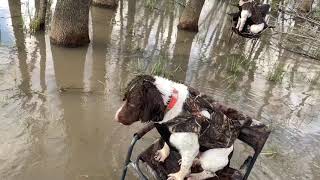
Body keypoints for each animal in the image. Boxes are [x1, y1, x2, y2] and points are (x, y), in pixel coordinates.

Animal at [114, 75, 251, 180]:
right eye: (125, 98)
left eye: (132, 103)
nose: (115, 118)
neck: (171, 104)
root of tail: (229, 158)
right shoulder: (168, 134)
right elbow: (167, 143)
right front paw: (163, 153)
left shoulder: (191, 148)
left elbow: (184, 168)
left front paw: (178, 176)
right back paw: (195, 161)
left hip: (210, 159)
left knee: (210, 172)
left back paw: (196, 176)